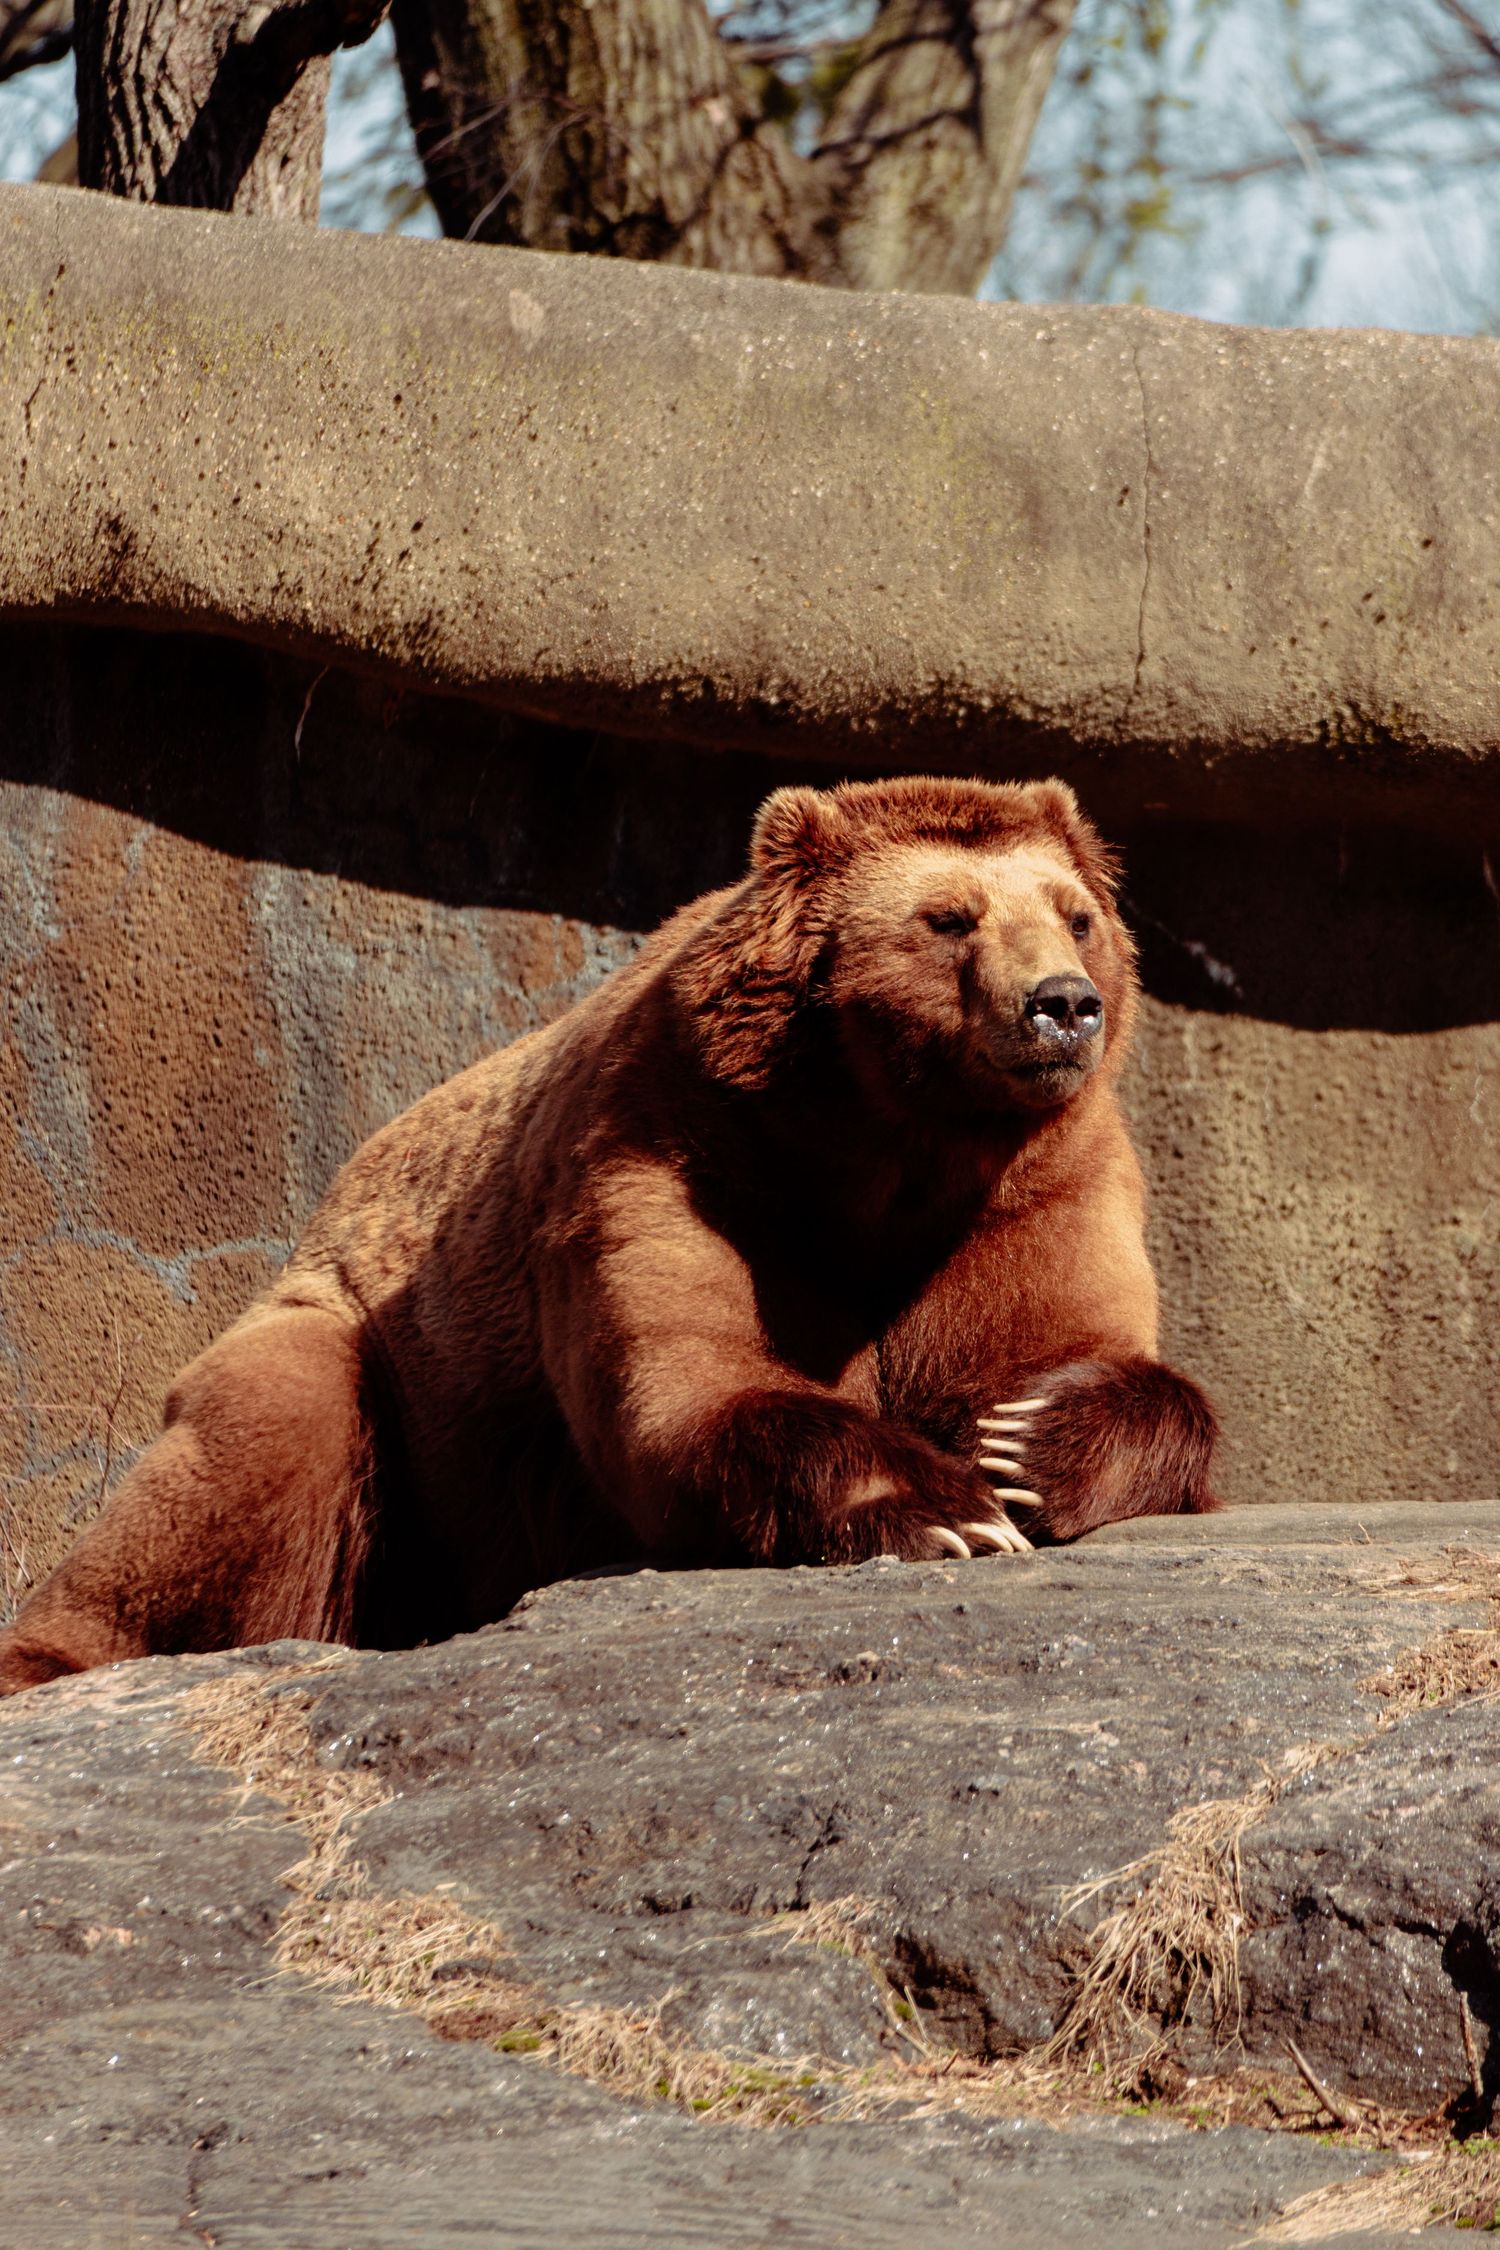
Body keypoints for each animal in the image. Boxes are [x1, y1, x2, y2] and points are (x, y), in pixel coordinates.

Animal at [0, 774, 1218, 1694]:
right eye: (949, 917)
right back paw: (51, 1660)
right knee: (262, 1436)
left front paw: (1023, 1445)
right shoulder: (673, 1150)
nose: (1062, 1004)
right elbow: (692, 1383)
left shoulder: (1034, 1184)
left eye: (1075, 913)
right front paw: (944, 1510)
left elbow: (1077, 1352)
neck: (880, 1145)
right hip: (368, 1356)